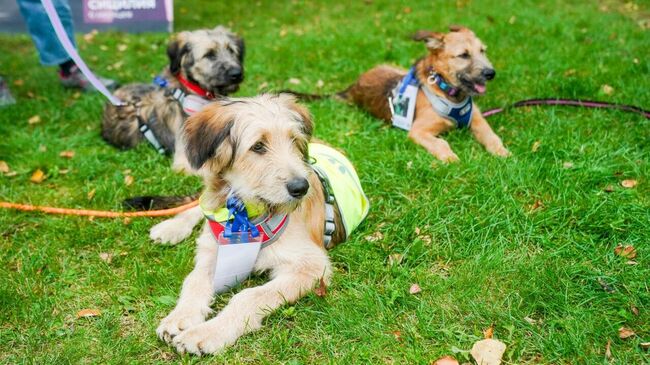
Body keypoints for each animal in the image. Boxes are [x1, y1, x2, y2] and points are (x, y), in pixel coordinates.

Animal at [149, 93, 368, 352]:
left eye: (293, 140)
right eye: (258, 146)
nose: (301, 188)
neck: (248, 214)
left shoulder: (311, 265)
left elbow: (248, 296)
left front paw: (208, 332)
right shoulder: (213, 251)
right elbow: (194, 281)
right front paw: (180, 316)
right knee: (197, 205)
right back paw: (171, 227)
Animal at [342, 25, 508, 162]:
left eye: (482, 51)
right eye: (463, 55)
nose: (491, 73)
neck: (448, 92)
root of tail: (356, 83)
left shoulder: (477, 118)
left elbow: (491, 136)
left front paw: (501, 151)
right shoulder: (418, 131)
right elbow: (441, 143)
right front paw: (450, 158)